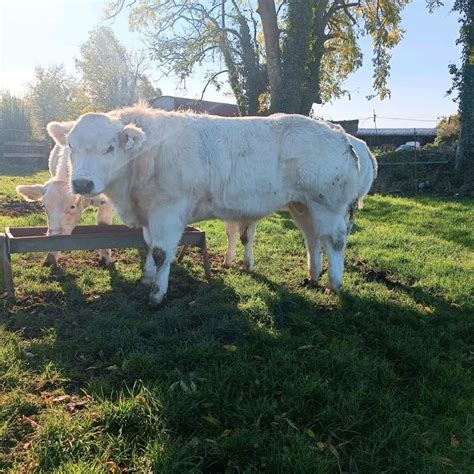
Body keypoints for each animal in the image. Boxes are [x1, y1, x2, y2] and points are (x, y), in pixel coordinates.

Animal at [58, 104, 362, 306]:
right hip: (301, 205)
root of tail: (338, 132)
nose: (82, 183)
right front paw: (146, 278)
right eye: (71, 146)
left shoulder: (168, 211)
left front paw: (157, 294)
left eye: (109, 148)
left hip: (327, 204)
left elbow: (160, 252)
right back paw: (312, 277)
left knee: (335, 241)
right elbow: (148, 246)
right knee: (312, 238)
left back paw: (334, 284)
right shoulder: (150, 212)